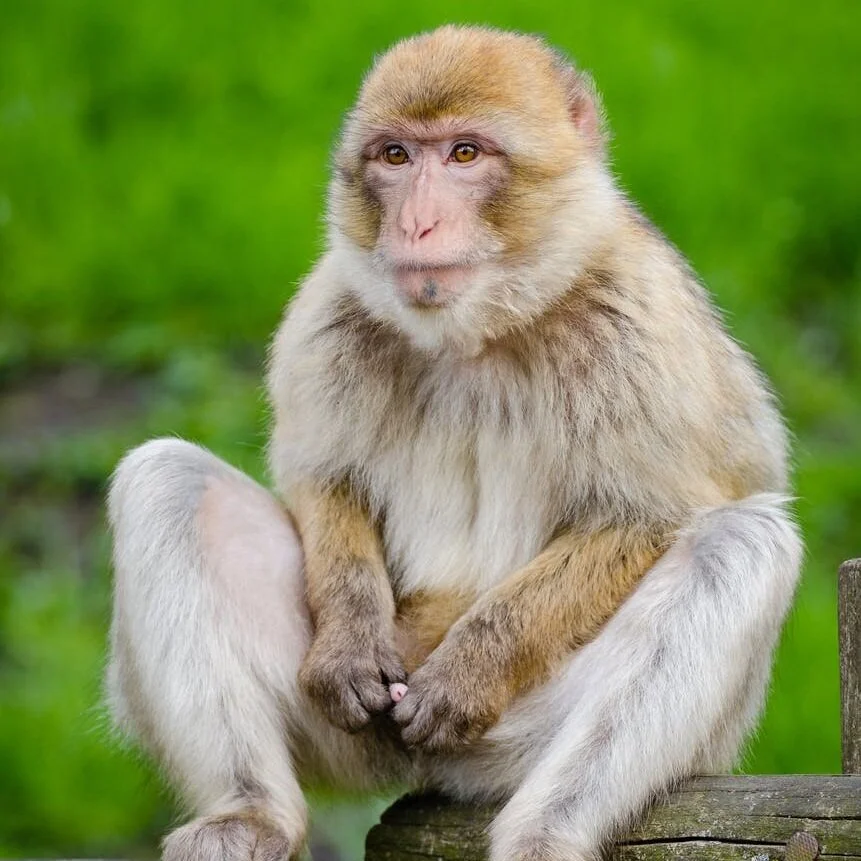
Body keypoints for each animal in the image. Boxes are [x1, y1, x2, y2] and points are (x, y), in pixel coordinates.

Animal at [105, 25, 802, 861]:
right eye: (396, 156)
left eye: (465, 154)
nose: (415, 225)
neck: (481, 331)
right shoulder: (330, 306)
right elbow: (323, 478)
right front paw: (346, 643)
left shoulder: (635, 324)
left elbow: (646, 515)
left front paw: (470, 670)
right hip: (343, 732)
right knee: (164, 479)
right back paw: (249, 812)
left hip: (513, 741)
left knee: (740, 542)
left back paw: (543, 833)